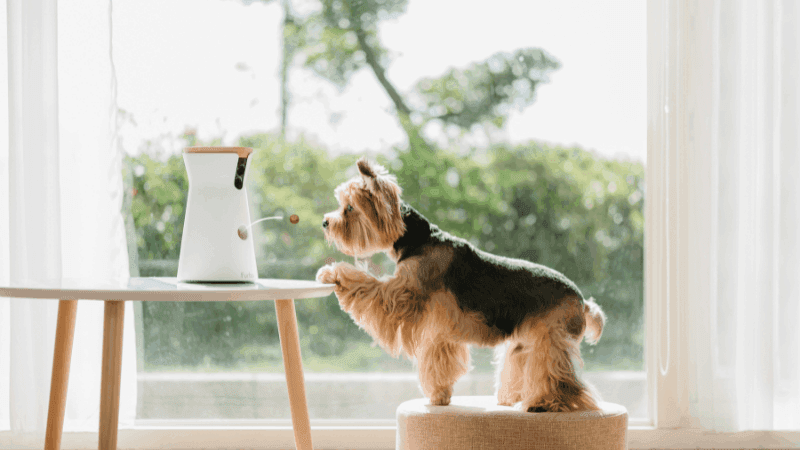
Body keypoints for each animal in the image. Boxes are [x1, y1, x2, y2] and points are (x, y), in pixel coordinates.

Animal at [316, 157, 604, 412]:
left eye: (349, 208)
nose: (325, 222)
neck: (418, 238)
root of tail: (582, 301)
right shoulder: (439, 329)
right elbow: (438, 365)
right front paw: (439, 397)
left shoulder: (401, 295)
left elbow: (368, 286)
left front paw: (334, 274)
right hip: (525, 342)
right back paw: (509, 398)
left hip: (551, 341)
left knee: (561, 378)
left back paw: (546, 403)